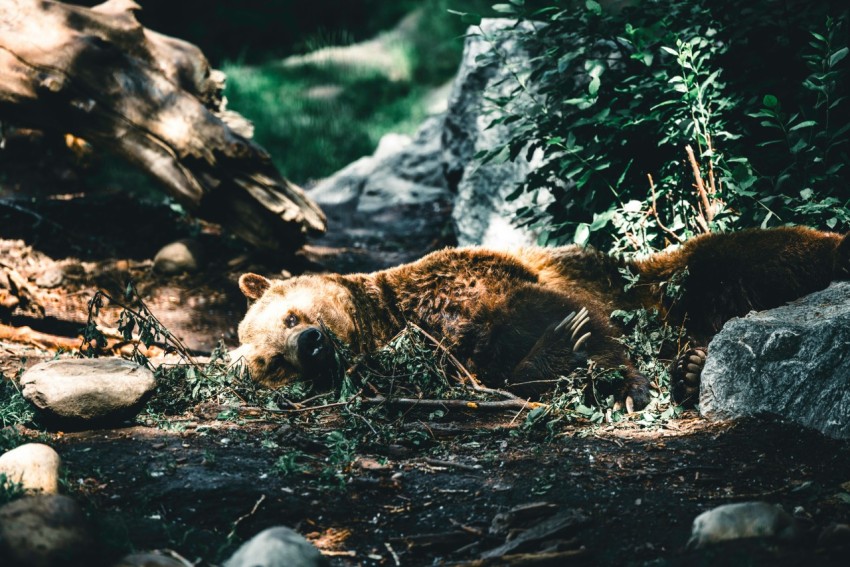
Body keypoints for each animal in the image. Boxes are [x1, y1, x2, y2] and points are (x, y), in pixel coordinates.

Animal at [232, 226, 850, 411]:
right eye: (272, 365)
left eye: (289, 316)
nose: (311, 343)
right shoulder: (451, 353)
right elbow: (511, 365)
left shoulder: (473, 282)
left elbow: (551, 315)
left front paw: (608, 373)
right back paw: (692, 367)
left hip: (663, 280)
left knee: (747, 254)